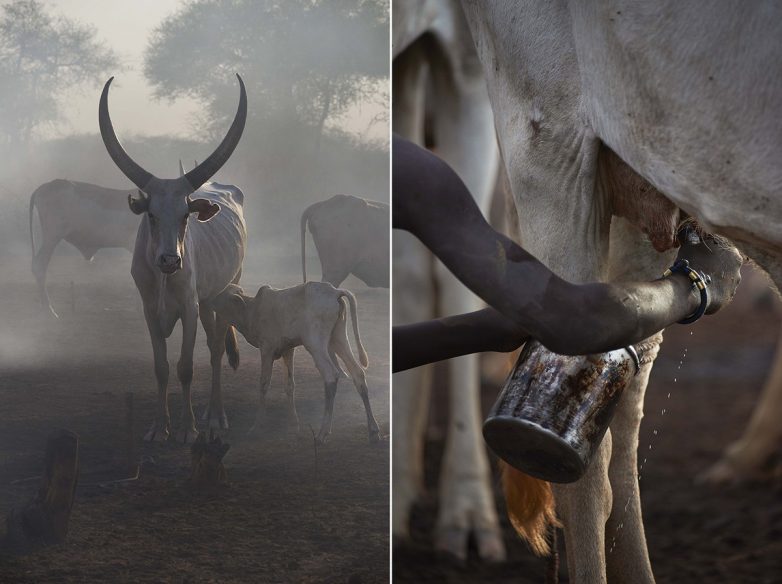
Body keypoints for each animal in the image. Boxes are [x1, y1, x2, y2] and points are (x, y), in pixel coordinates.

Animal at [99, 75, 248, 444]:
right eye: (151, 215)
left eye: (185, 215)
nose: (169, 260)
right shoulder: (149, 310)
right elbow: (162, 367)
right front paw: (158, 427)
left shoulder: (189, 309)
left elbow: (185, 367)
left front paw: (188, 429)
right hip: (207, 301)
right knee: (213, 343)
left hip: (225, 292)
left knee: (215, 349)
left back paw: (216, 417)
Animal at [213, 282, 384, 442]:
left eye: (222, 293)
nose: (211, 299)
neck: (251, 310)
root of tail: (335, 292)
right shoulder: (288, 350)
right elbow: (290, 385)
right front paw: (294, 424)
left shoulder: (267, 349)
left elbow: (264, 384)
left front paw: (256, 426)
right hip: (338, 338)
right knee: (358, 373)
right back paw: (373, 431)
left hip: (315, 344)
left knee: (330, 375)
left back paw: (323, 433)